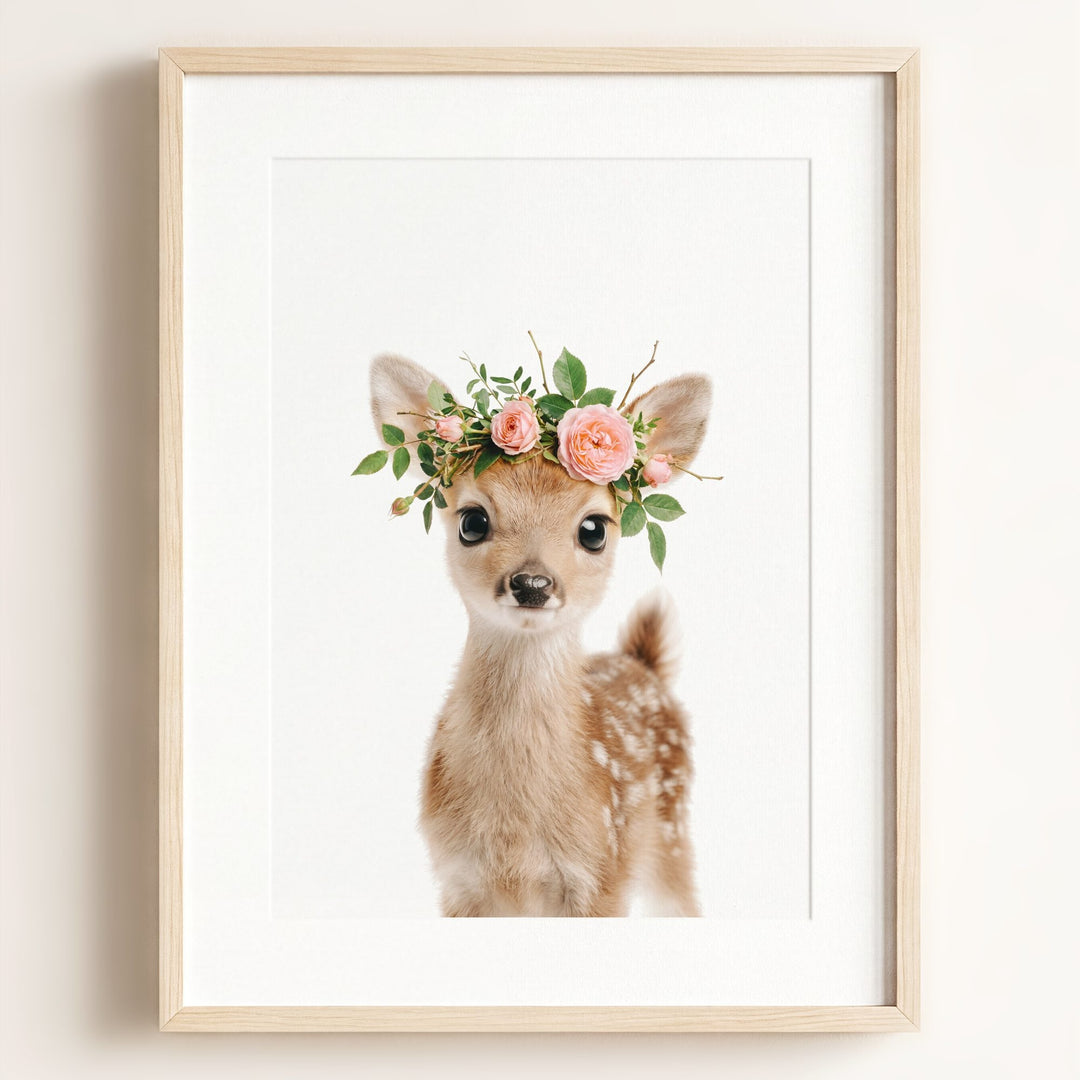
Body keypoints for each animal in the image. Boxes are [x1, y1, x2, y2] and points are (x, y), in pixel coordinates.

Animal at [369, 353, 713, 916]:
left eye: (594, 529)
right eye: (472, 521)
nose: (532, 583)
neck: (514, 835)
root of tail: (642, 663)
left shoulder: (602, 874)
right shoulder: (457, 879)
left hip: (672, 832)